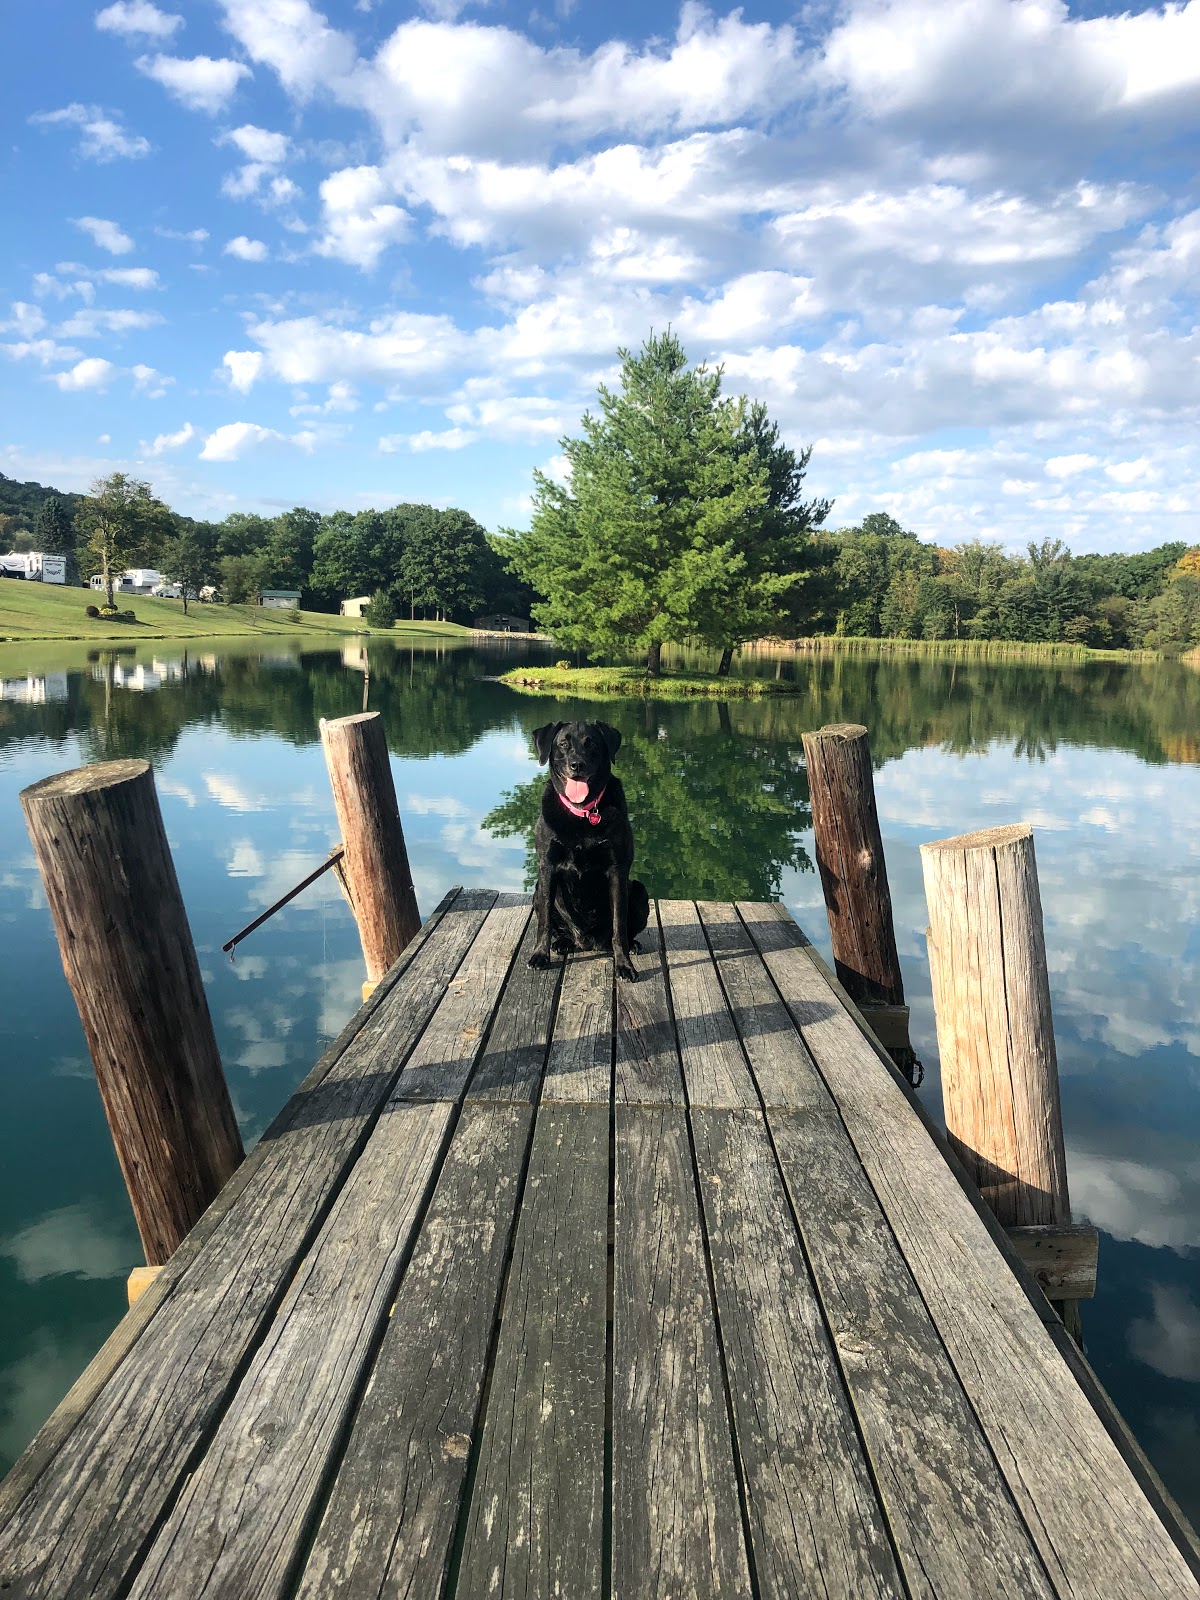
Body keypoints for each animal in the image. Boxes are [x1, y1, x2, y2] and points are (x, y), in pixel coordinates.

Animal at [531, 723, 652, 972]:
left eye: (592, 743)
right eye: (563, 743)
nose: (577, 764)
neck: (582, 812)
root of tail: (586, 942)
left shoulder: (617, 870)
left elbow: (619, 926)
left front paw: (624, 965)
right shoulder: (547, 867)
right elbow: (544, 923)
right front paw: (540, 955)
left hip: (639, 890)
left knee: (625, 931)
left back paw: (633, 945)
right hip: (537, 890)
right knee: (558, 928)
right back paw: (563, 942)